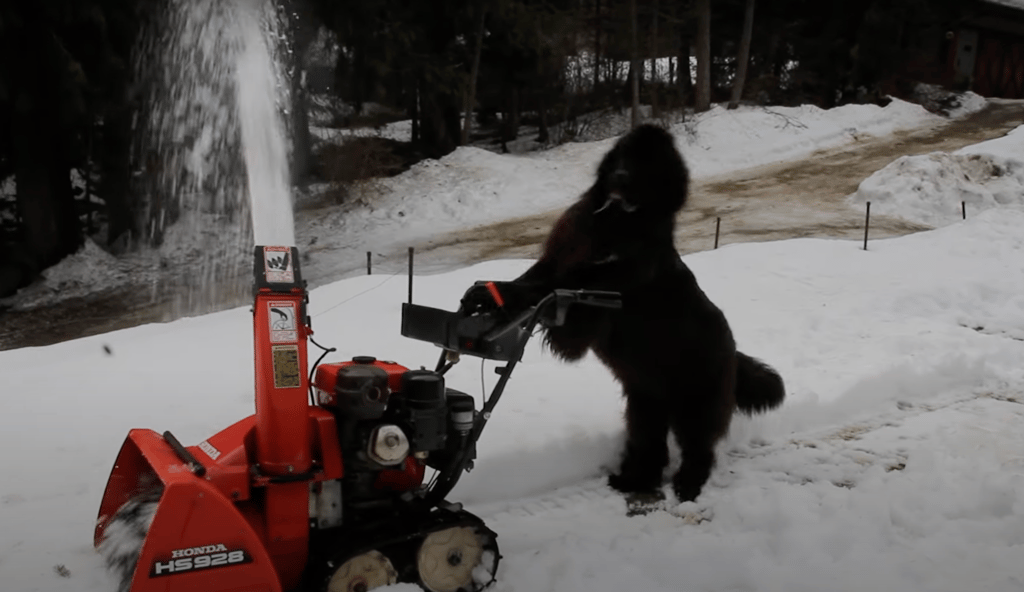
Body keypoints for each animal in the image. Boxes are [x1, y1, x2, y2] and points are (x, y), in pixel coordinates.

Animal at [464, 123, 782, 497]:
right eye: (622, 155)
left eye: (647, 163)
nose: (620, 175)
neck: (618, 219)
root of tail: (735, 351)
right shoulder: (563, 252)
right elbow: (534, 277)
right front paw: (488, 294)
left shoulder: (600, 286)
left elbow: (553, 287)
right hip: (646, 397)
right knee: (649, 442)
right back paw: (633, 480)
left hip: (696, 398)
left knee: (697, 445)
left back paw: (687, 485)